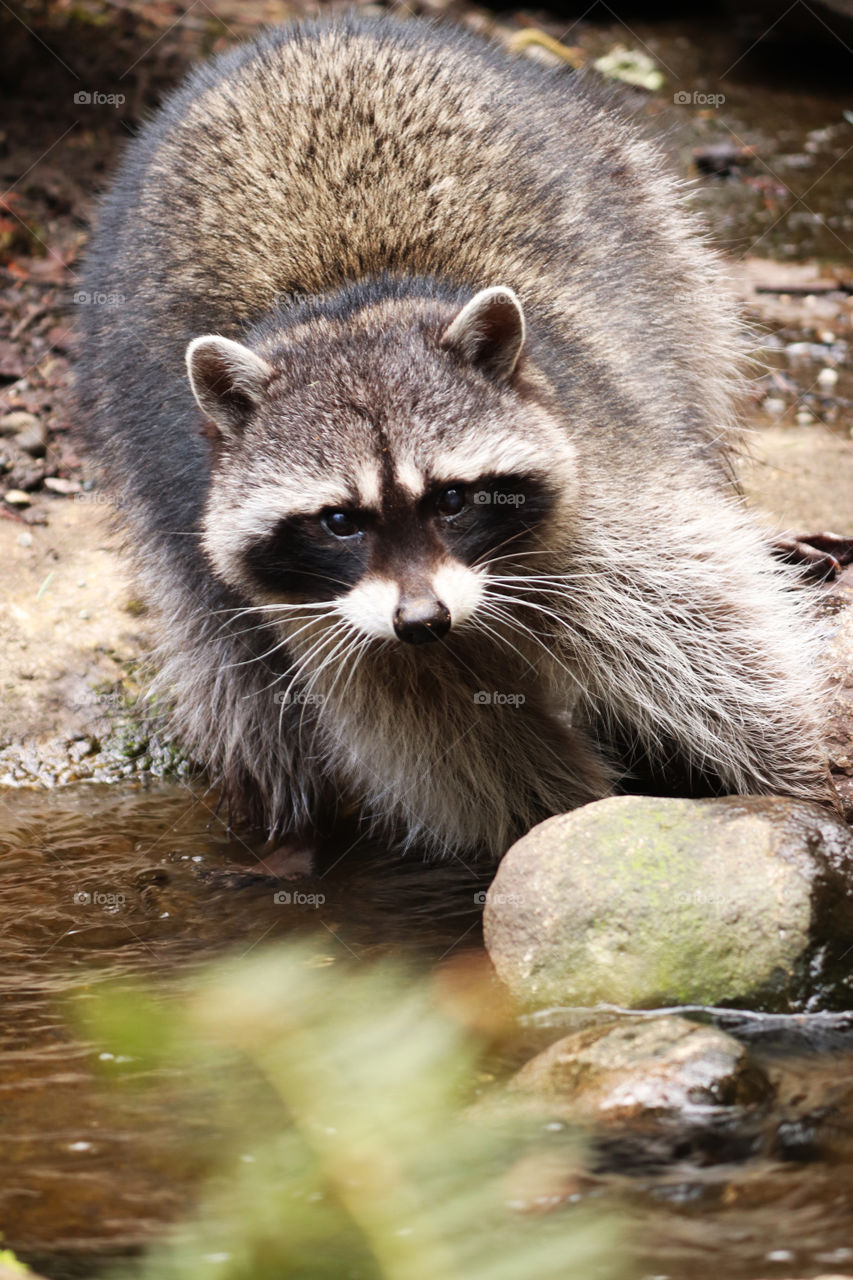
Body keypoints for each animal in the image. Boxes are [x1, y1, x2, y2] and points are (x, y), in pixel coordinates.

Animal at [78, 10, 829, 865]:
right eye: (339, 520)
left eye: (451, 499)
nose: (422, 621)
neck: (344, 307)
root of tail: (314, 29)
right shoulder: (326, 621)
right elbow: (463, 747)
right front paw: (555, 822)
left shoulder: (601, 491)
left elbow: (714, 639)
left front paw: (797, 780)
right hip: (147, 469)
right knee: (240, 686)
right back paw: (285, 825)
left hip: (656, 243)